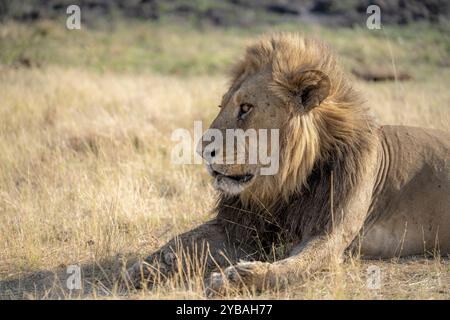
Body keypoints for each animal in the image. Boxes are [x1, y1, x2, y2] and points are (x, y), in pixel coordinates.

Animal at [126, 33, 450, 296]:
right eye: (222, 106)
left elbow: (293, 266)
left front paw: (235, 278)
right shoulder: (241, 227)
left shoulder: (329, 233)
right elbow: (182, 240)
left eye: (246, 108)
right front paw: (149, 267)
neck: (282, 184)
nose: (202, 151)